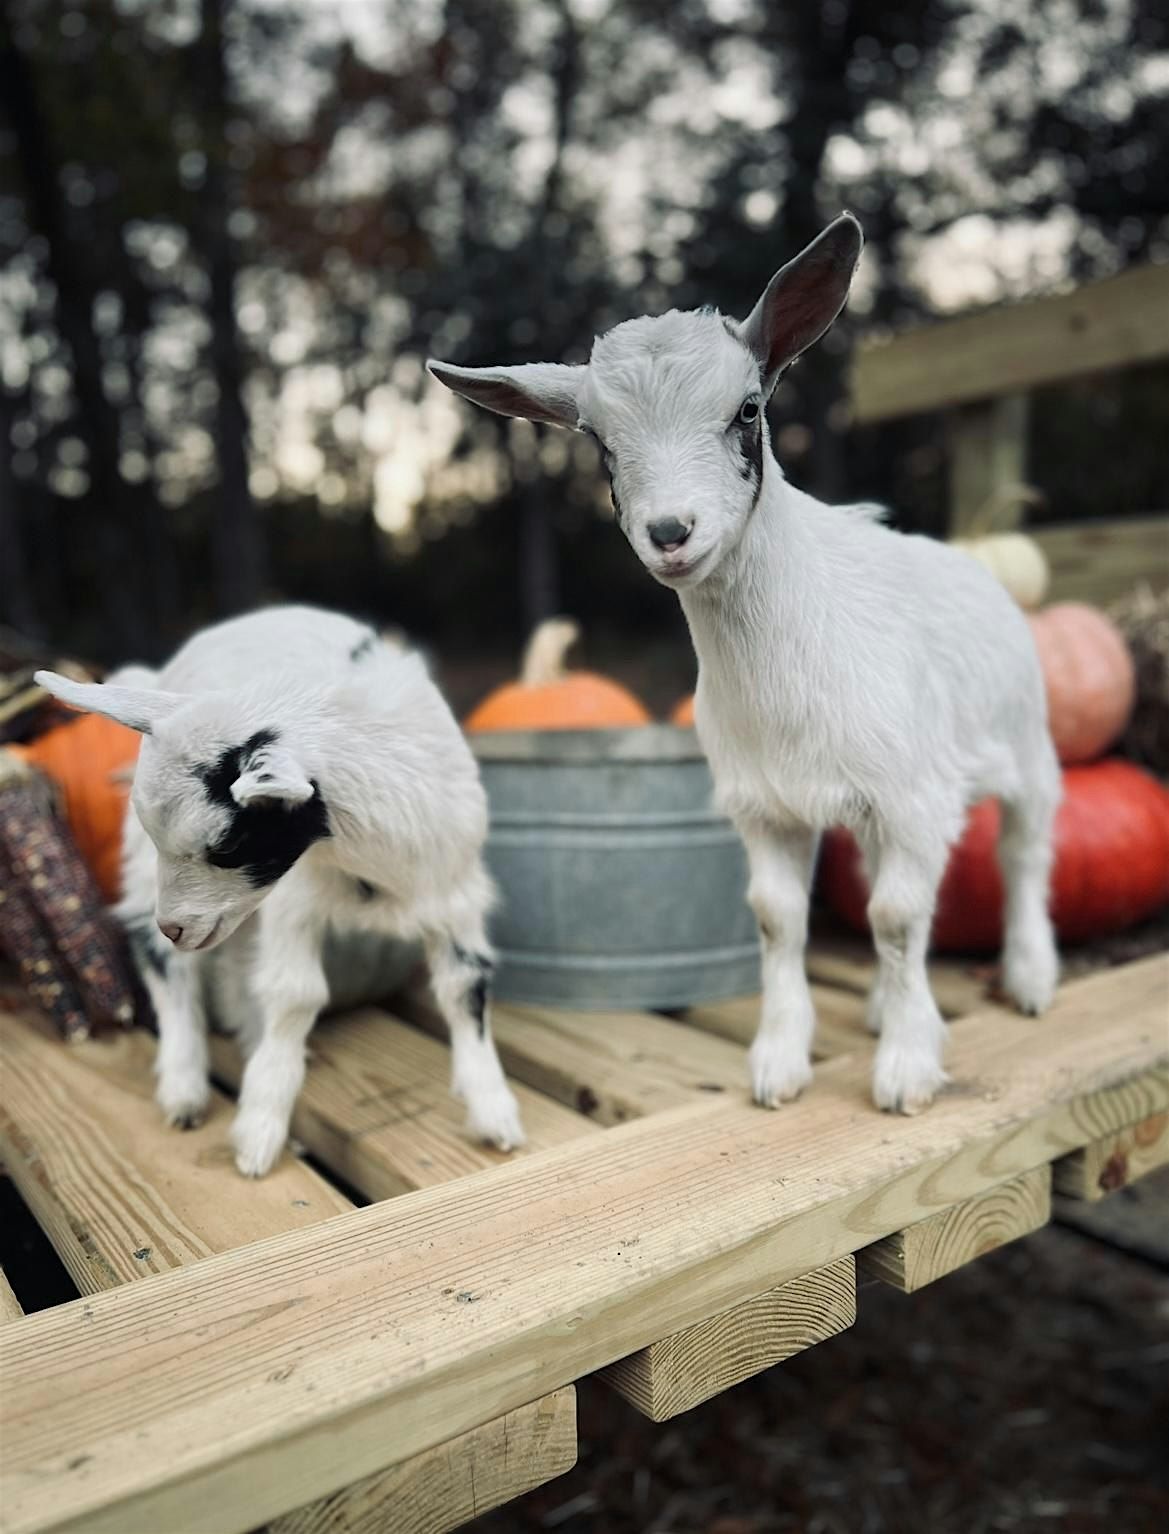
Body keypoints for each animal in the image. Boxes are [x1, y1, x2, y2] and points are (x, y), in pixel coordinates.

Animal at [36, 604, 521, 1178]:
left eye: (228, 845)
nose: (174, 925)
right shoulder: (296, 900)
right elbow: (296, 993)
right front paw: (259, 1131)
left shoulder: (454, 891)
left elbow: (465, 986)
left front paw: (495, 1114)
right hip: (146, 873)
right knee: (160, 958)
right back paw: (183, 1088)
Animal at [432, 213, 1061, 1116]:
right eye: (599, 444)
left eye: (747, 410)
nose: (669, 533)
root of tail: (976, 560)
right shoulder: (767, 806)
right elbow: (780, 919)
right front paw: (778, 1063)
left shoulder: (913, 797)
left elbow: (897, 918)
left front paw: (906, 1071)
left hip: (1026, 744)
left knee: (1023, 853)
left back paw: (1031, 977)